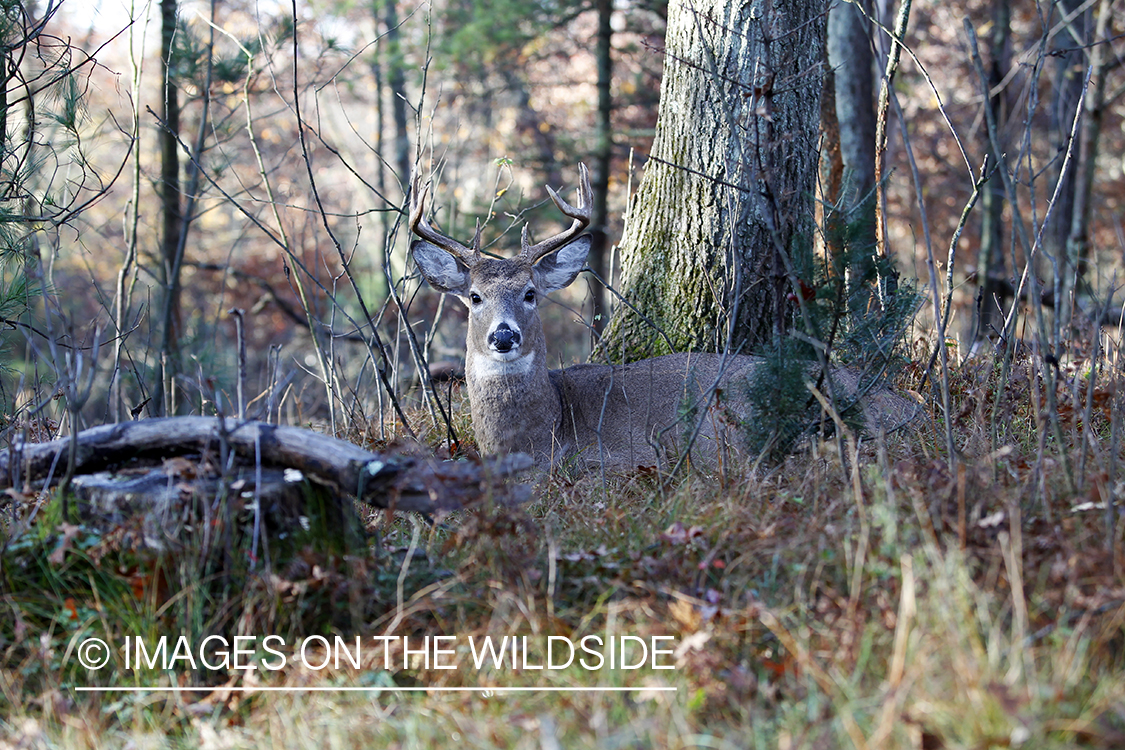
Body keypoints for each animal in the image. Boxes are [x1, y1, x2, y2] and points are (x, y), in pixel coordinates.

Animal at [409, 165, 918, 474]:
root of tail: (905, 403)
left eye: (530, 293)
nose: (503, 335)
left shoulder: (621, 457)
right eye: (475, 297)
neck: (545, 432)